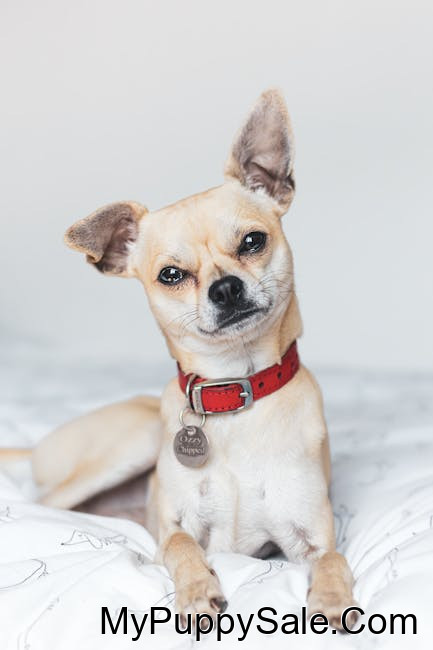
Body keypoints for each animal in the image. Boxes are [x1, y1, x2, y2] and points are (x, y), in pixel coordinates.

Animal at [7, 89, 358, 629]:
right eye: (171, 275)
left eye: (253, 241)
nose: (226, 287)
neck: (234, 392)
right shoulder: (177, 528)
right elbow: (182, 549)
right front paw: (196, 592)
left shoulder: (311, 538)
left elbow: (335, 561)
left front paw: (333, 601)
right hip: (133, 440)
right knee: (40, 503)